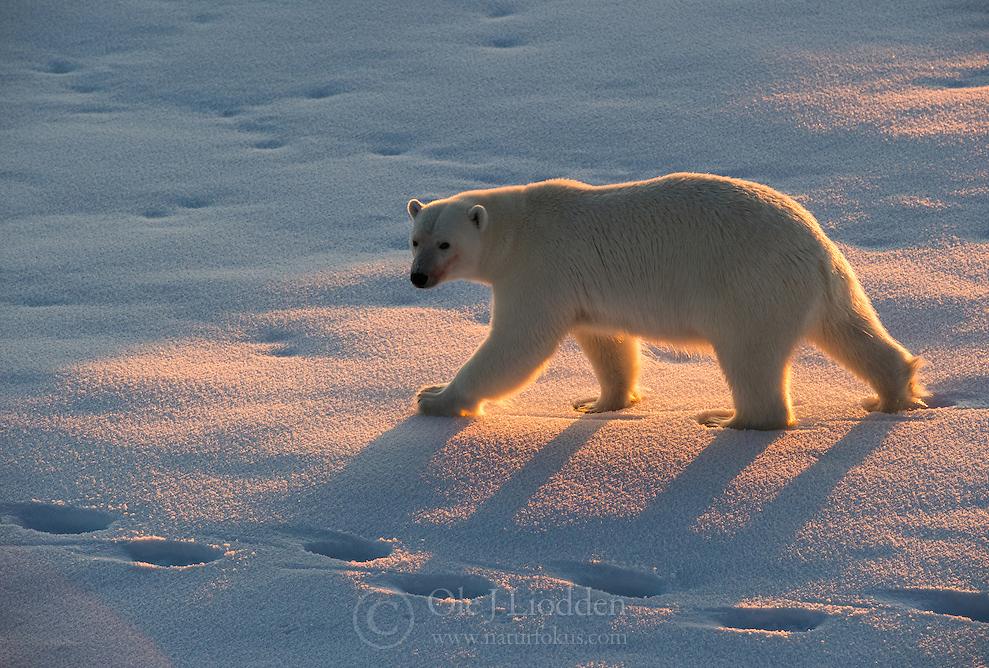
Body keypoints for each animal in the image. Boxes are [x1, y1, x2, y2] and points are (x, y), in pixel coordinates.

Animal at [404, 172, 928, 430]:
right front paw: (599, 404)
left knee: (751, 359)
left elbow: (516, 346)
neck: (517, 228)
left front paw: (435, 397)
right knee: (851, 330)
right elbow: (607, 342)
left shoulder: (539, 271)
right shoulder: (582, 290)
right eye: (414, 240)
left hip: (749, 287)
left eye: (445, 244)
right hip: (827, 284)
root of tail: (814, 245)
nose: (417, 277)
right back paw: (891, 394)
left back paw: (726, 419)